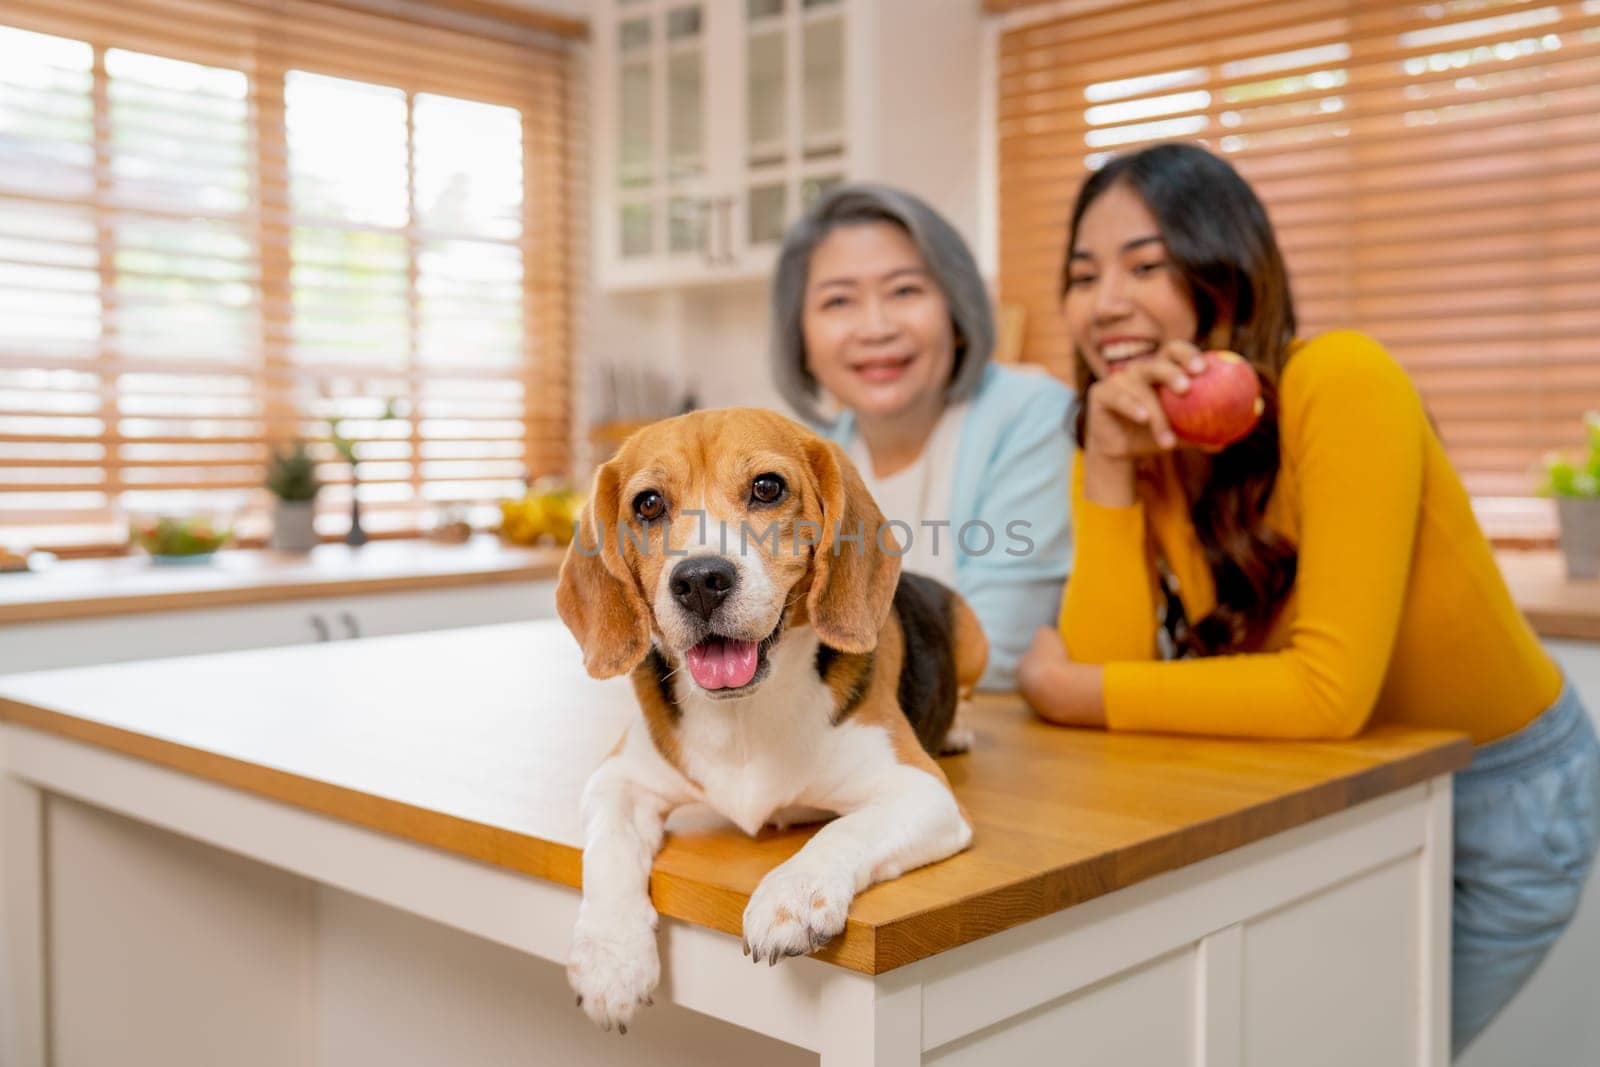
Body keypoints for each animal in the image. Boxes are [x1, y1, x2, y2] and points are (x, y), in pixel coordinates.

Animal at [556, 404, 979, 1030]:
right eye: (648, 504)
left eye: (767, 488)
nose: (700, 581)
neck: (742, 715)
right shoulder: (618, 780)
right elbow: (607, 850)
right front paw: (611, 958)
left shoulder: (921, 792)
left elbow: (843, 828)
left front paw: (792, 896)